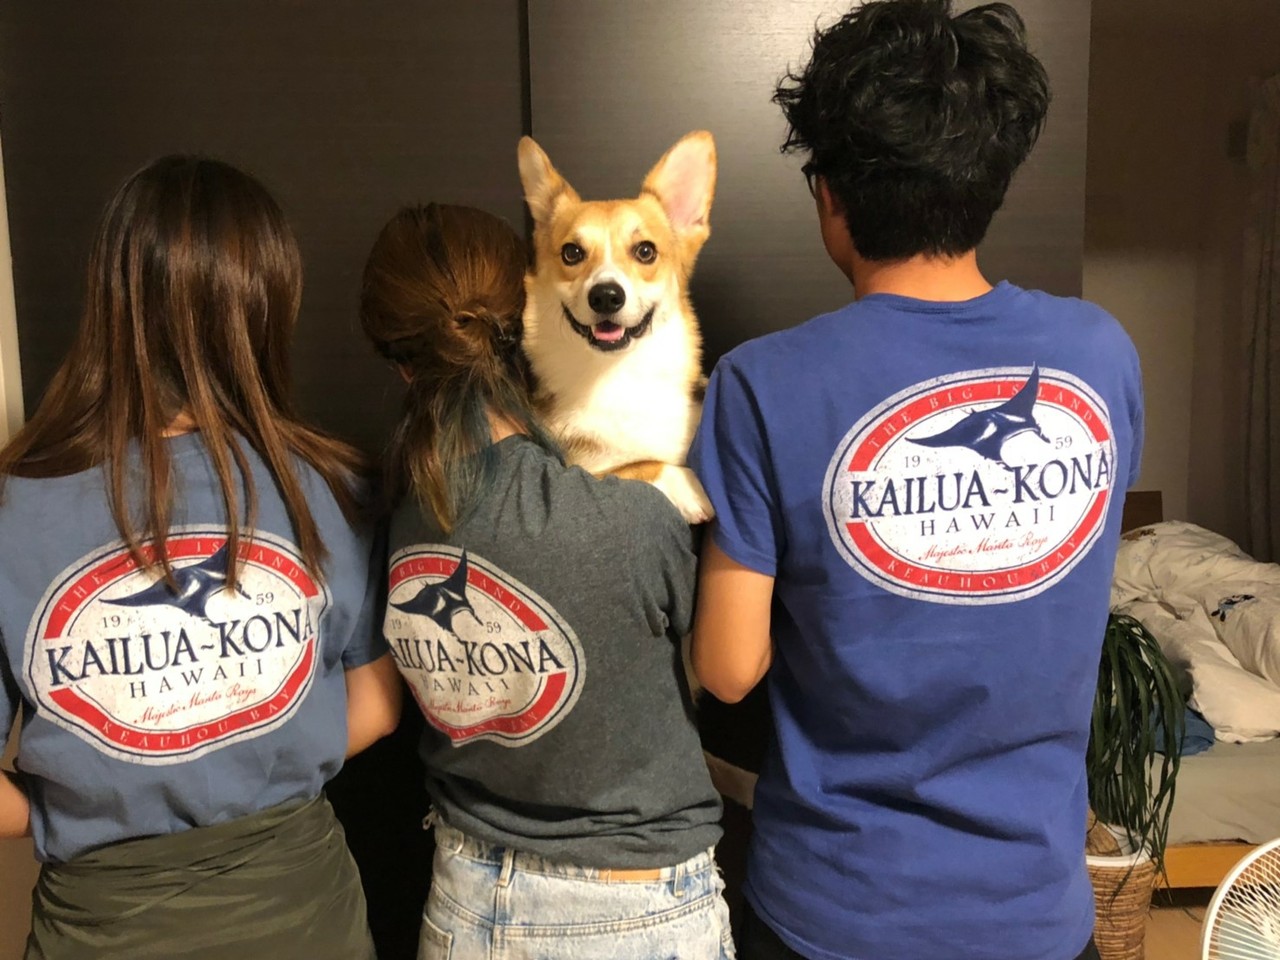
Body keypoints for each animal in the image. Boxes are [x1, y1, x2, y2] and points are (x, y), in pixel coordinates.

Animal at [516, 131, 716, 523]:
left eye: (645, 251)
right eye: (572, 253)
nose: (606, 296)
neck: (619, 372)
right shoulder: (581, 471)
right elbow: (635, 466)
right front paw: (690, 484)